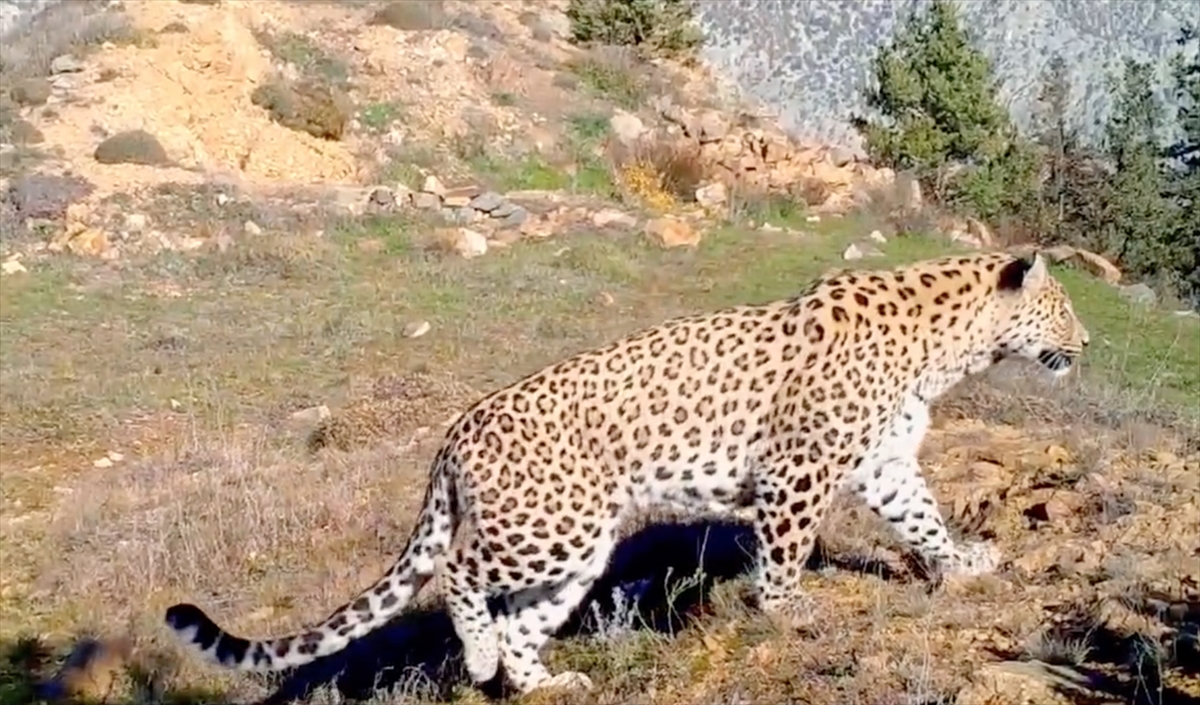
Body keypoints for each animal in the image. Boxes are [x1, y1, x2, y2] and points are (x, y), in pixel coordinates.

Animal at [164, 250, 1094, 695]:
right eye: (1063, 309)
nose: (1086, 343)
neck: (948, 348)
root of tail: (457, 430)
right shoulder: (800, 467)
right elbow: (787, 548)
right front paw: (788, 607)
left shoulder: (884, 462)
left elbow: (924, 516)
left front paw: (964, 561)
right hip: (552, 523)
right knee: (463, 573)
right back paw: (478, 655)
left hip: (577, 554)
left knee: (524, 623)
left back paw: (547, 682)